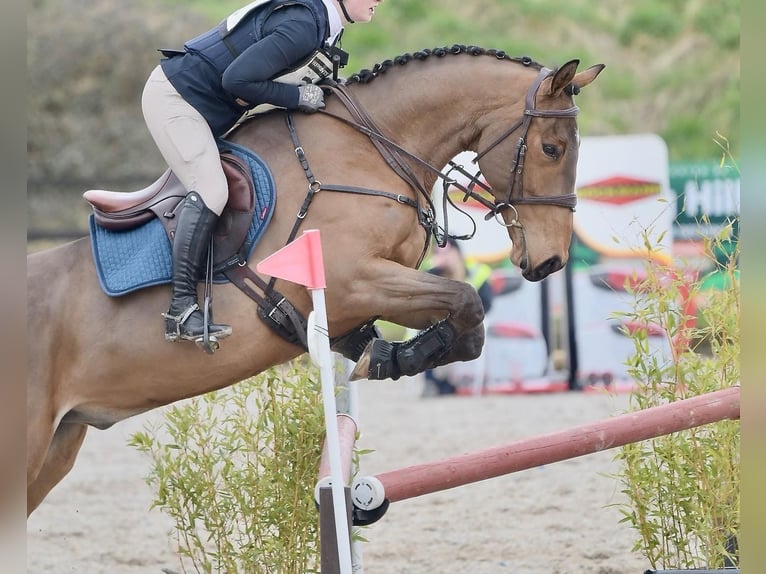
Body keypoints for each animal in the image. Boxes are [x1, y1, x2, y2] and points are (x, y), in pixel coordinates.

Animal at [25, 44, 608, 512]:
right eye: (552, 148)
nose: (551, 261)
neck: (370, 149)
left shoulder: (367, 292)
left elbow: (465, 325)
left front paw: (390, 356)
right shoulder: (352, 282)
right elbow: (466, 301)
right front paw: (394, 358)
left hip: (56, 448)